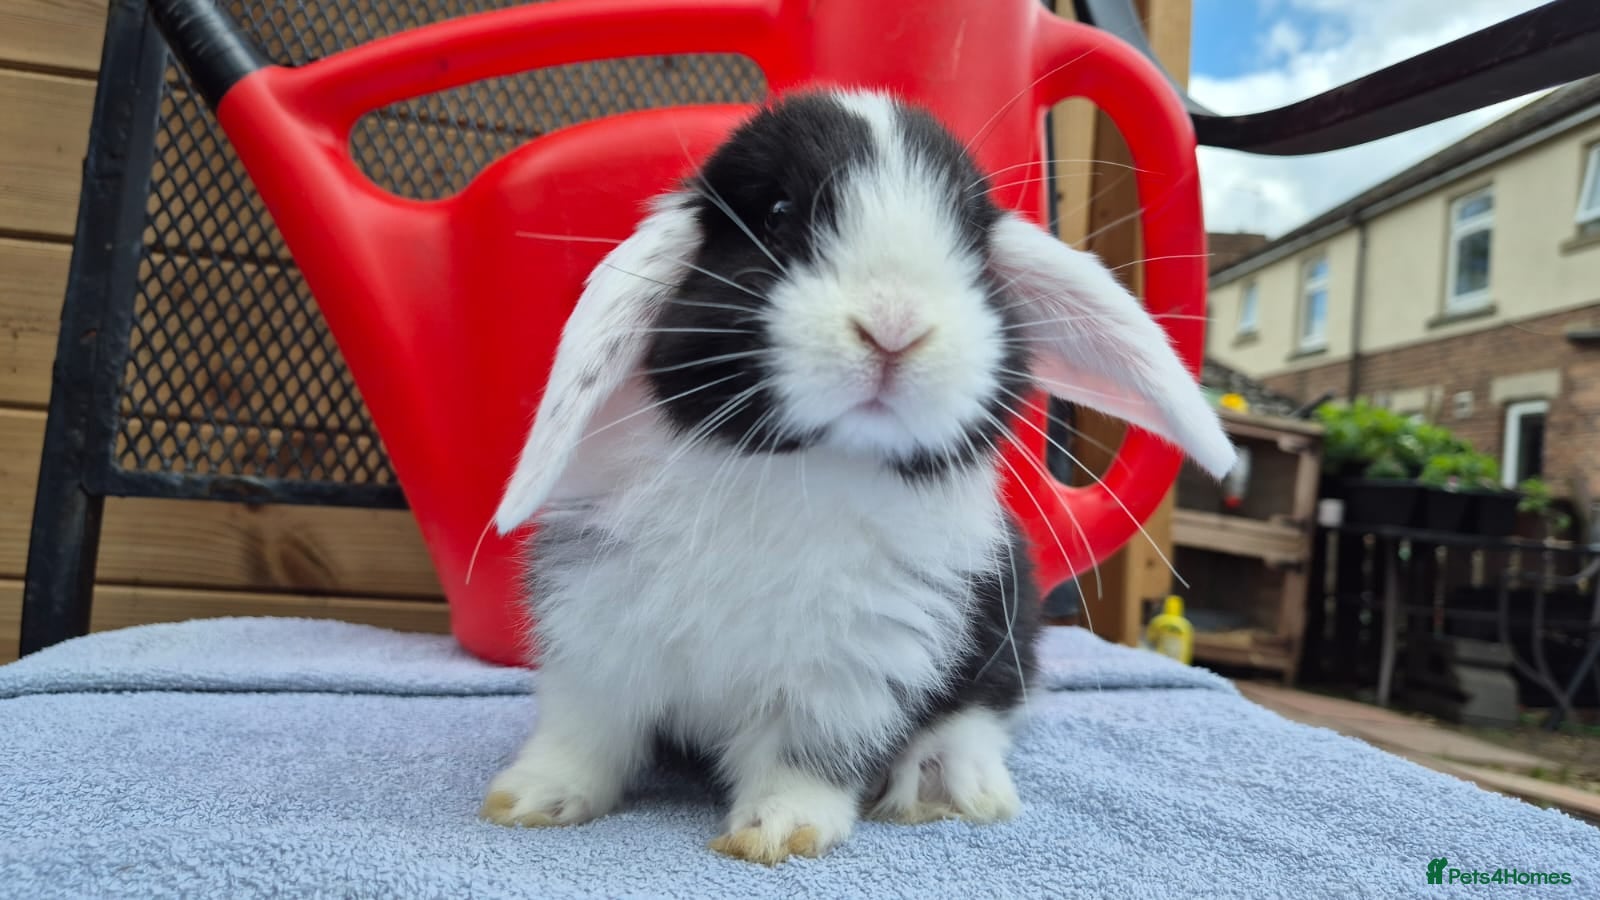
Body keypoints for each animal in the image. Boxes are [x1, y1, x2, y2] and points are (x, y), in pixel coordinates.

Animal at [480, 87, 1236, 865]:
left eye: (972, 244)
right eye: (777, 214)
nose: (895, 325)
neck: (802, 469)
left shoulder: (854, 668)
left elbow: (803, 757)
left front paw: (779, 833)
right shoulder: (594, 629)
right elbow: (587, 731)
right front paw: (532, 801)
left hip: (1010, 622)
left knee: (987, 709)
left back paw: (946, 783)